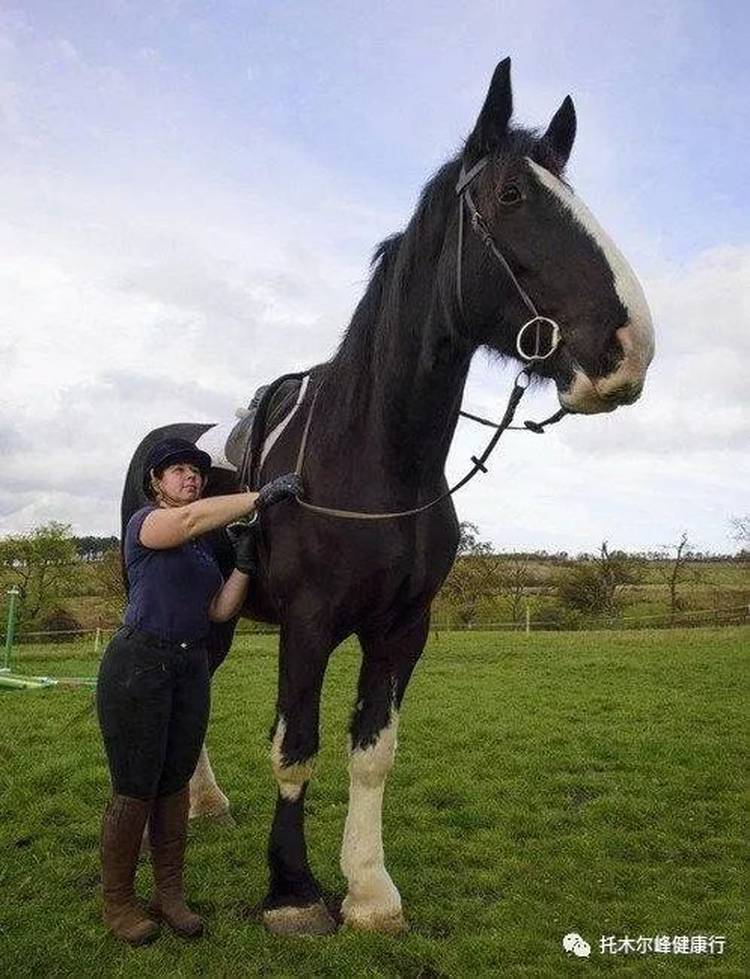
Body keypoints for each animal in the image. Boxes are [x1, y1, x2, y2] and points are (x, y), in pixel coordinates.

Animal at [122, 59, 652, 936]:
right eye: (512, 194)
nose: (629, 344)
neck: (375, 453)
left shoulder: (404, 629)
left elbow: (373, 753)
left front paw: (369, 890)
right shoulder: (307, 625)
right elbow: (295, 746)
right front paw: (293, 889)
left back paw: (205, 802)